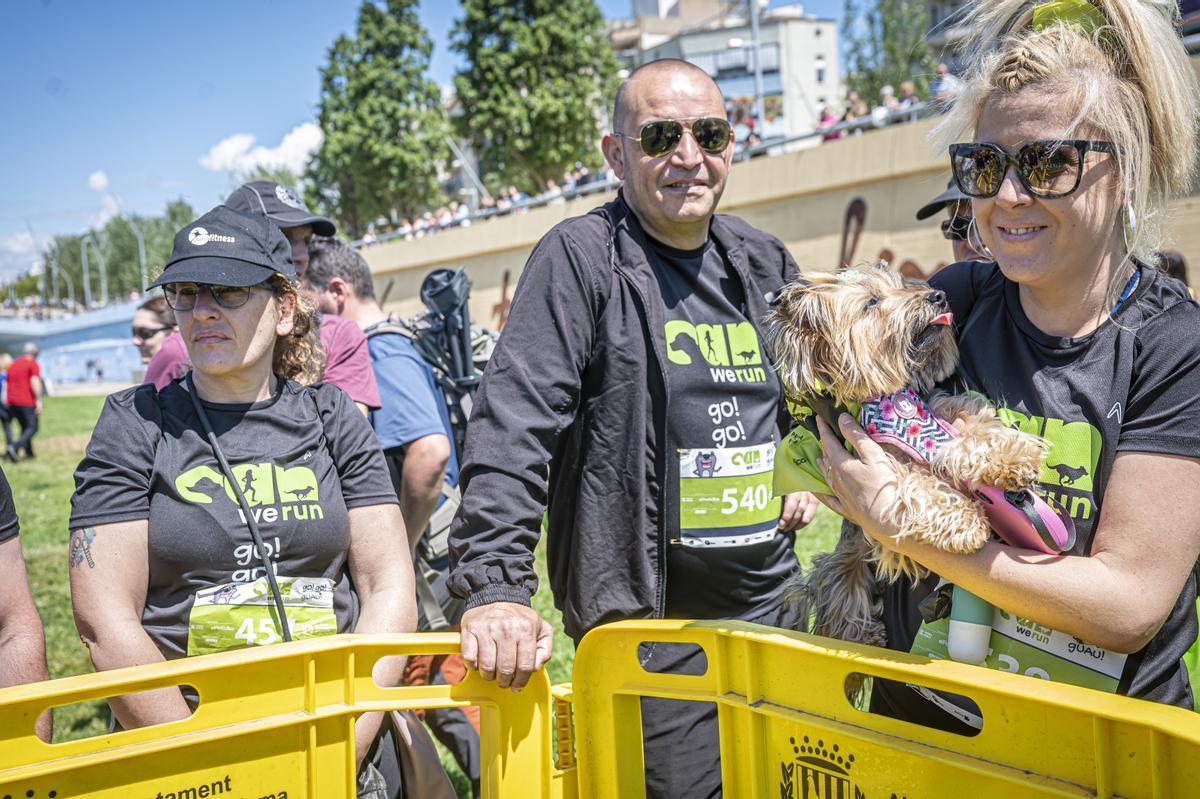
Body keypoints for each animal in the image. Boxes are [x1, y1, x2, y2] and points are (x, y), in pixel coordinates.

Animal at [772, 263, 1046, 652]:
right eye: (872, 302)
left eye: (902, 284)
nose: (937, 296)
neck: (888, 399)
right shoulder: (884, 464)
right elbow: (920, 483)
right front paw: (967, 521)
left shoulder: (942, 410)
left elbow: (975, 423)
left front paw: (1014, 457)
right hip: (841, 562)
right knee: (838, 600)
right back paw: (863, 634)